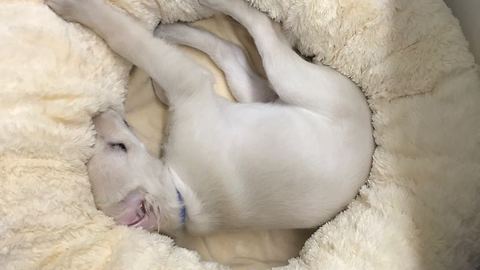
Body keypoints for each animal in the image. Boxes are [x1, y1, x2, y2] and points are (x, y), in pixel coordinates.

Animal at [46, 0, 376, 236]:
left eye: (118, 147)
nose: (99, 115)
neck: (180, 196)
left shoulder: (185, 81)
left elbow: (125, 37)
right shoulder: (190, 82)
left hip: (286, 82)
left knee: (252, 33)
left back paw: (183, 22)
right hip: (276, 86)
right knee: (243, 46)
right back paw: (183, 25)